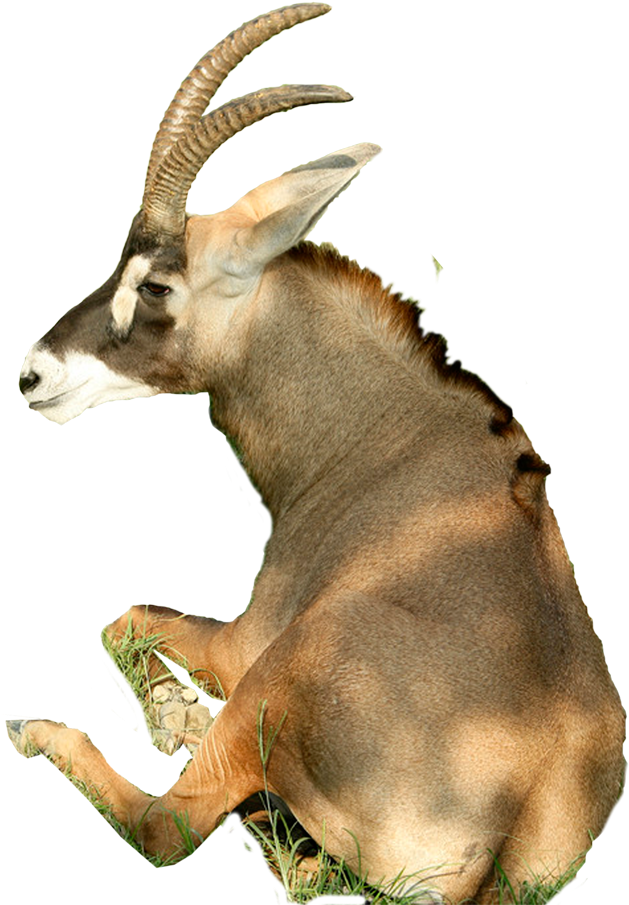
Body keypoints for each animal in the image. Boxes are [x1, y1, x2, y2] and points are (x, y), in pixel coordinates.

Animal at [12, 3, 625, 902]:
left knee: (166, 825)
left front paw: (171, 714)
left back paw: (41, 730)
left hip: (282, 672)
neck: (387, 434)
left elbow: (123, 614)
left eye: (156, 284)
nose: (33, 374)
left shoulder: (244, 640)